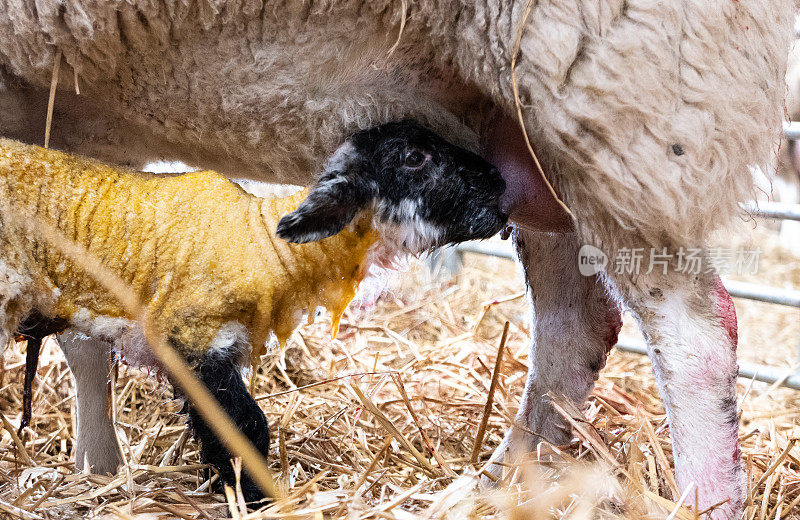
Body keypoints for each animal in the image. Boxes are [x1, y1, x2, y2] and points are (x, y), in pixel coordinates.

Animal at [0, 2, 792, 516]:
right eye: (413, 157)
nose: (490, 190)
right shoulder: (72, 128)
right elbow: (82, 332)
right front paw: (96, 471)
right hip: (532, 124)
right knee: (580, 320)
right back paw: (507, 483)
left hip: (616, 92)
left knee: (695, 336)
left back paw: (702, 502)